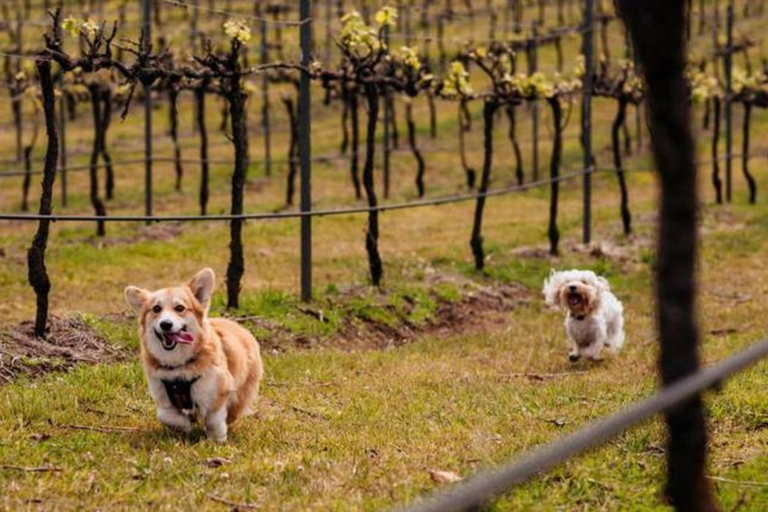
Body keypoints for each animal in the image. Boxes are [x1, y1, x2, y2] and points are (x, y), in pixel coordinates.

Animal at [123, 268, 260, 440]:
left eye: (180, 308)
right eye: (156, 309)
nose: (165, 324)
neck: (178, 364)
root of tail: (236, 324)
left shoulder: (217, 392)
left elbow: (214, 420)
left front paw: (216, 439)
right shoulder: (162, 397)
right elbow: (165, 416)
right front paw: (185, 426)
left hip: (242, 392)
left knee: (232, 412)